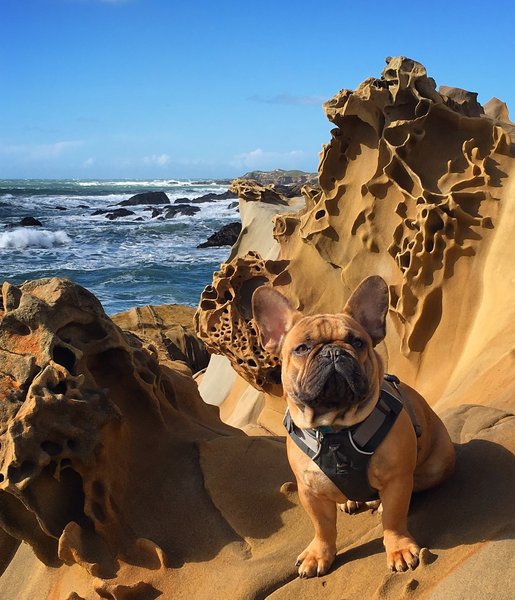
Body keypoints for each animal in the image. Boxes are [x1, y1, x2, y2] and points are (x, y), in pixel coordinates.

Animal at [253, 276, 456, 576]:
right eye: (302, 348)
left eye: (357, 342)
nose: (333, 352)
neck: (336, 429)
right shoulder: (310, 491)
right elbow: (322, 528)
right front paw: (319, 554)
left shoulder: (397, 478)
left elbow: (394, 519)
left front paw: (399, 548)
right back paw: (352, 500)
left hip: (437, 464)